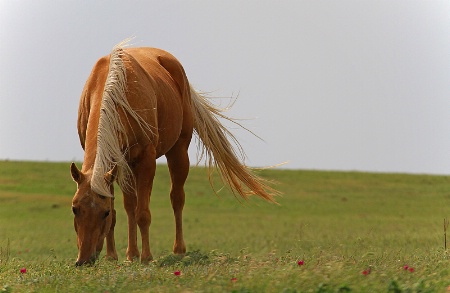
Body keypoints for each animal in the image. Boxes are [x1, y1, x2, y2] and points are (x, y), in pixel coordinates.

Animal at [70, 40, 278, 266]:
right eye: (75, 209)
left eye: (103, 213)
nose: (84, 260)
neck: (115, 88)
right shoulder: (118, 163)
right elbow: (125, 209)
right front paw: (117, 256)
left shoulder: (146, 159)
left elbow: (143, 213)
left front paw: (146, 257)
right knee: (134, 203)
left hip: (178, 152)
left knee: (176, 198)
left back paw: (178, 250)